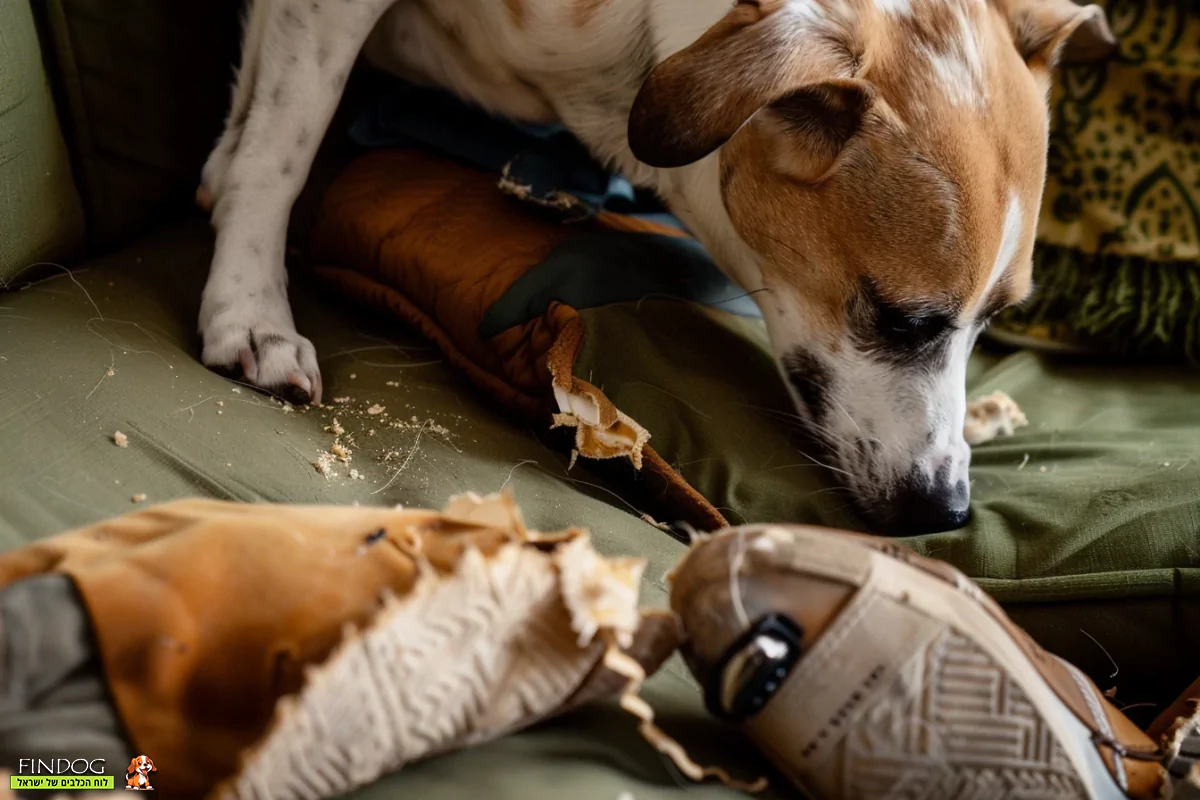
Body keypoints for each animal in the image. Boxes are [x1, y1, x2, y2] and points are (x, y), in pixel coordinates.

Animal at [194, 1, 1113, 537]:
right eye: (903, 318)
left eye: (996, 319)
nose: (946, 513)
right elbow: (284, 138)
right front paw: (252, 308)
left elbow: (258, 109)